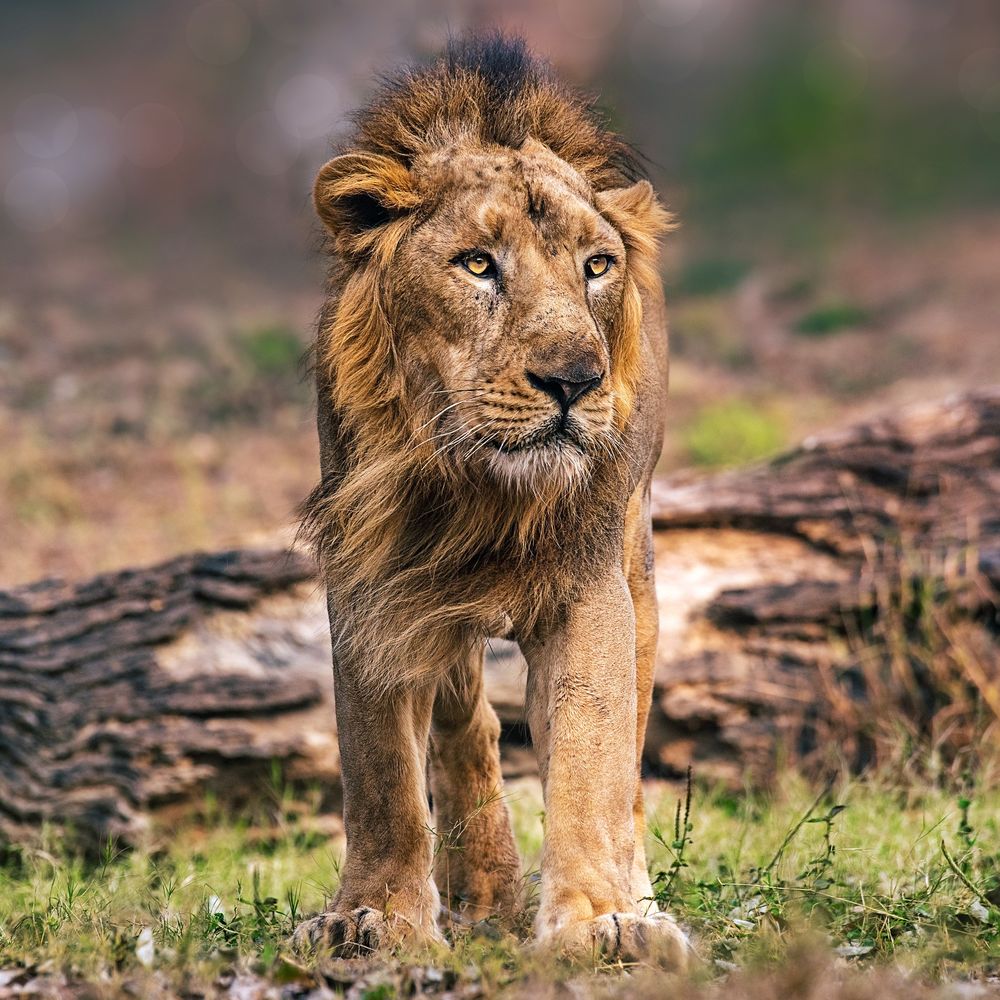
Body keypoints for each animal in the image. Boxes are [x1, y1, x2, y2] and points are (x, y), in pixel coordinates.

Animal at [294, 35, 689, 965]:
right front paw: (376, 917)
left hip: (639, 566)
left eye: (596, 267)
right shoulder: (374, 584)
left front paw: (602, 921)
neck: (479, 489)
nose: (574, 382)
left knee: (627, 765)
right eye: (478, 264)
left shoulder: (588, 586)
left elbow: (589, 757)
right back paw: (482, 889)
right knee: (465, 724)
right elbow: (381, 770)